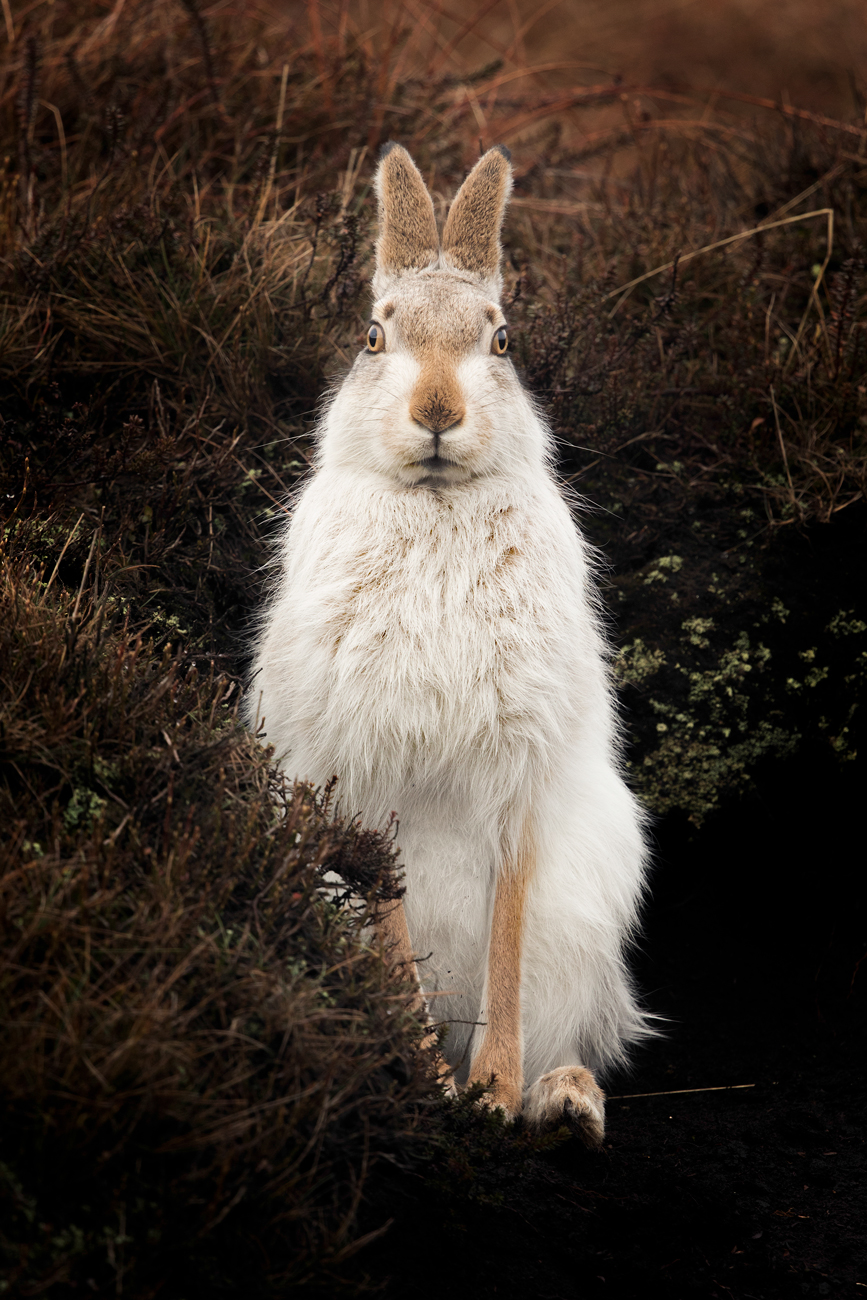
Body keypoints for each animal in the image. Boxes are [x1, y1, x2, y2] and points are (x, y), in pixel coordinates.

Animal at [247, 142, 652, 1146]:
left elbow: (507, 931)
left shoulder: (519, 784)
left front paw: (492, 1093)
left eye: (500, 342)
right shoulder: (359, 779)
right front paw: (434, 1088)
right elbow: (392, 933)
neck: (434, 504)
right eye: (372, 337)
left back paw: (564, 1100)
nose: (437, 410)